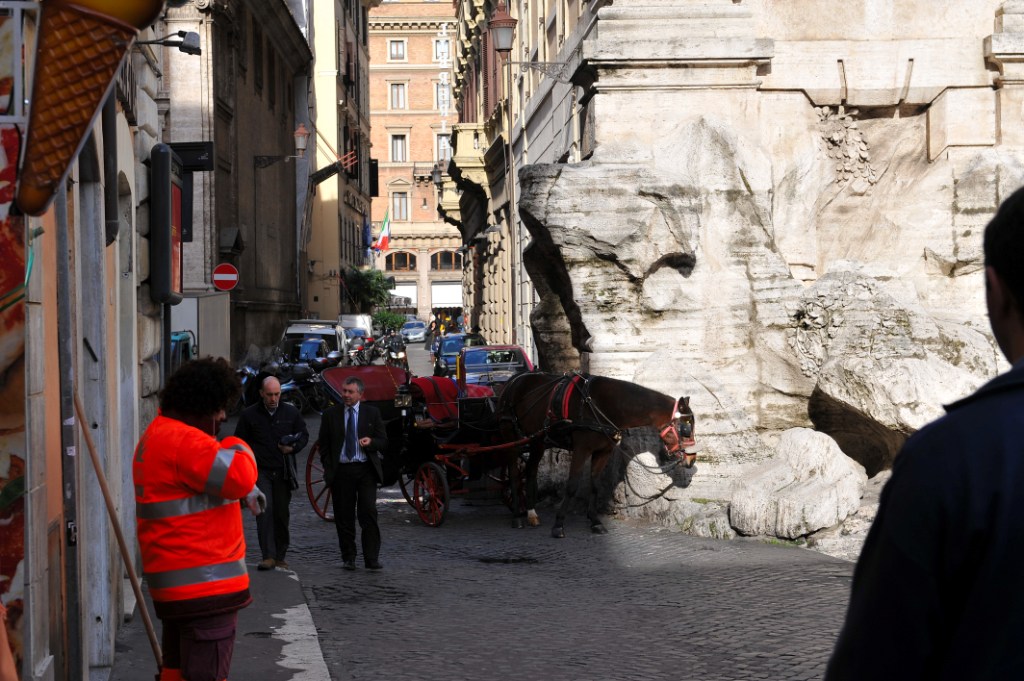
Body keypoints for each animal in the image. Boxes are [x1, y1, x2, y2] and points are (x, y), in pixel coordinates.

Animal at [495, 372, 696, 536]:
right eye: (686, 428)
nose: (692, 459)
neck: (602, 405)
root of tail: (513, 380)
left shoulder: (603, 451)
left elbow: (595, 485)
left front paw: (595, 522)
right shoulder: (581, 449)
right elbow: (572, 485)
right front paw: (558, 524)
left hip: (538, 440)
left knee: (530, 471)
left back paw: (531, 513)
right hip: (510, 437)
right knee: (514, 474)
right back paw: (517, 516)